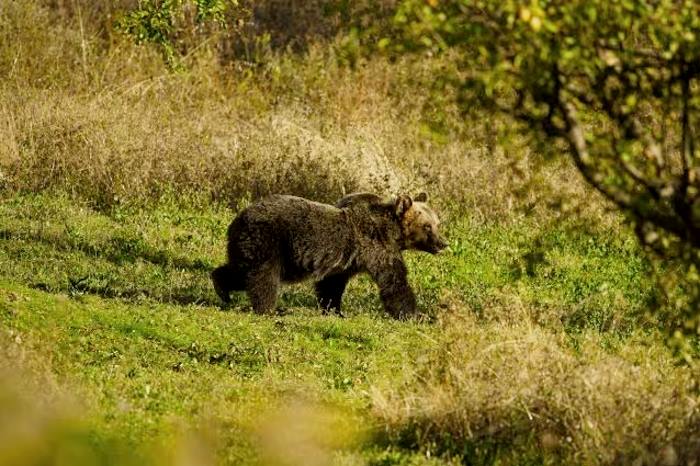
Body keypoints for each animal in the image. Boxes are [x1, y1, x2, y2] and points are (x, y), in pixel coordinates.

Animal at [211, 191, 446, 318]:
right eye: (427, 227)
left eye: (437, 223)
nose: (443, 243)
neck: (393, 233)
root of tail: (238, 219)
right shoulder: (378, 248)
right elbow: (395, 283)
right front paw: (417, 315)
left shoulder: (345, 262)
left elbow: (331, 285)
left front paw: (335, 310)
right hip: (269, 241)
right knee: (264, 278)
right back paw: (270, 309)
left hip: (250, 246)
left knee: (241, 271)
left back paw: (221, 287)